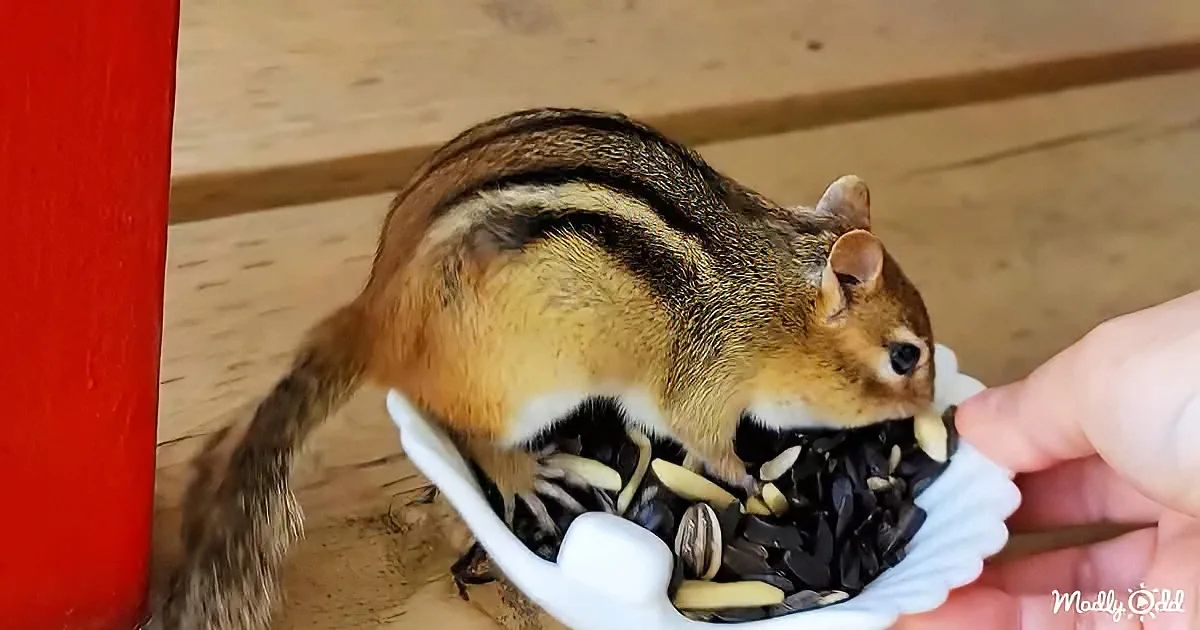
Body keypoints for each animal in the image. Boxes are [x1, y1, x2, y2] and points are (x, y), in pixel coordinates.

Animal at [157, 107, 935, 630]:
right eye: (905, 356)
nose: (932, 413)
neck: (772, 302)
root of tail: (376, 317)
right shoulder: (705, 386)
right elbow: (708, 443)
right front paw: (748, 481)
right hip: (522, 389)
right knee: (475, 436)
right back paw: (525, 475)